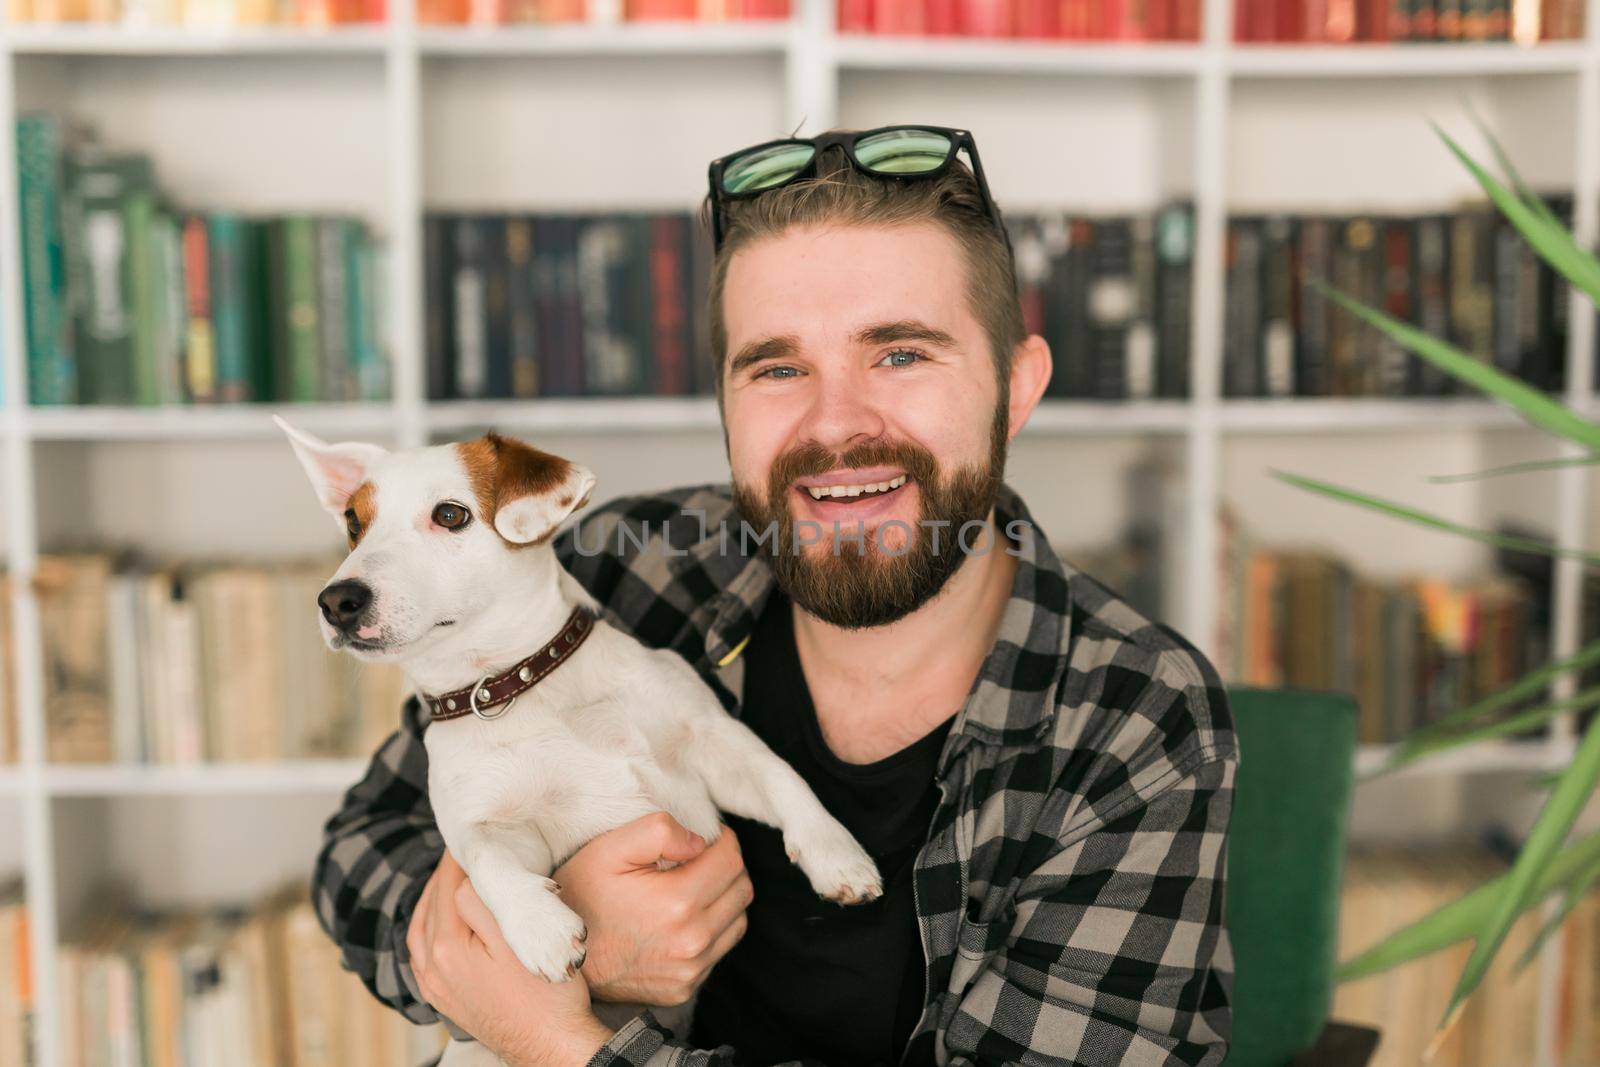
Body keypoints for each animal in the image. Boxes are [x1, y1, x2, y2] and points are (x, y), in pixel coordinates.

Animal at [284, 419, 889, 1067]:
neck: (521, 683)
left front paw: (836, 854)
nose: (338, 600)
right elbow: (486, 859)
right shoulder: (493, 825)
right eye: (353, 523)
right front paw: (539, 926)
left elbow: (783, 778)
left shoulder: (710, 741)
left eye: (450, 515)